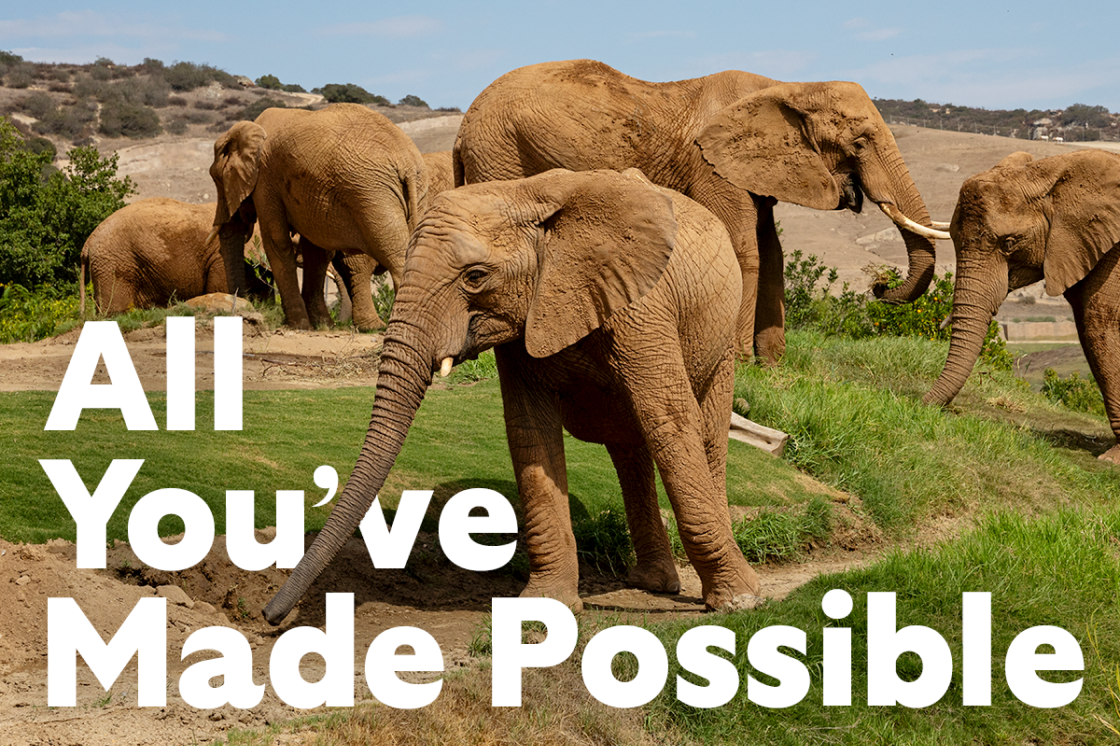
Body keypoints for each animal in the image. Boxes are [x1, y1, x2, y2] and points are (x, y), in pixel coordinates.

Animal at [209, 103, 429, 330]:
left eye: (216, 178)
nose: (244, 307)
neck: (250, 129)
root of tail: (408, 165)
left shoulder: (265, 180)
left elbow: (277, 242)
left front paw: (298, 326)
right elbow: (316, 251)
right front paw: (323, 325)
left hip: (373, 195)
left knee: (396, 259)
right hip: (413, 192)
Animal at [263, 168, 762, 624]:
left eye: (475, 276)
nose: (271, 616)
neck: (525, 195)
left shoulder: (641, 306)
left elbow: (669, 421)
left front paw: (740, 602)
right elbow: (530, 431)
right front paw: (545, 607)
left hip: (720, 337)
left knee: (703, 435)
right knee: (628, 448)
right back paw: (651, 582)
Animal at [453, 59, 949, 364]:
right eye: (860, 143)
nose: (878, 285)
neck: (786, 87)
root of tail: (464, 124)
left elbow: (772, 254)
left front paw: (774, 368)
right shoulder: (710, 165)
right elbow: (746, 249)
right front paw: (743, 362)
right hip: (500, 151)